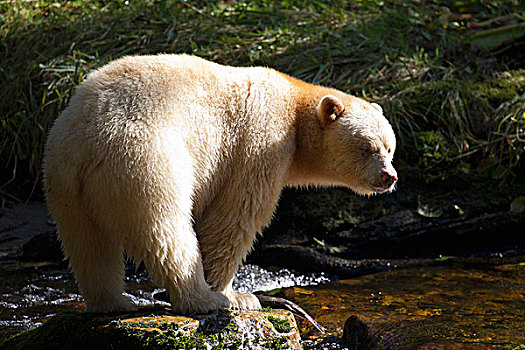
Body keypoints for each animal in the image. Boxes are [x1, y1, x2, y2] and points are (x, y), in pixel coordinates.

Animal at [43, 54, 396, 314]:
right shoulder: (260, 143)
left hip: (64, 181)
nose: (389, 177)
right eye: (368, 148)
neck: (293, 104)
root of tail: (87, 141)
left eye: (390, 148)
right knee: (167, 230)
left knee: (88, 245)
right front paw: (238, 295)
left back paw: (115, 302)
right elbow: (235, 216)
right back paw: (205, 299)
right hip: (144, 161)